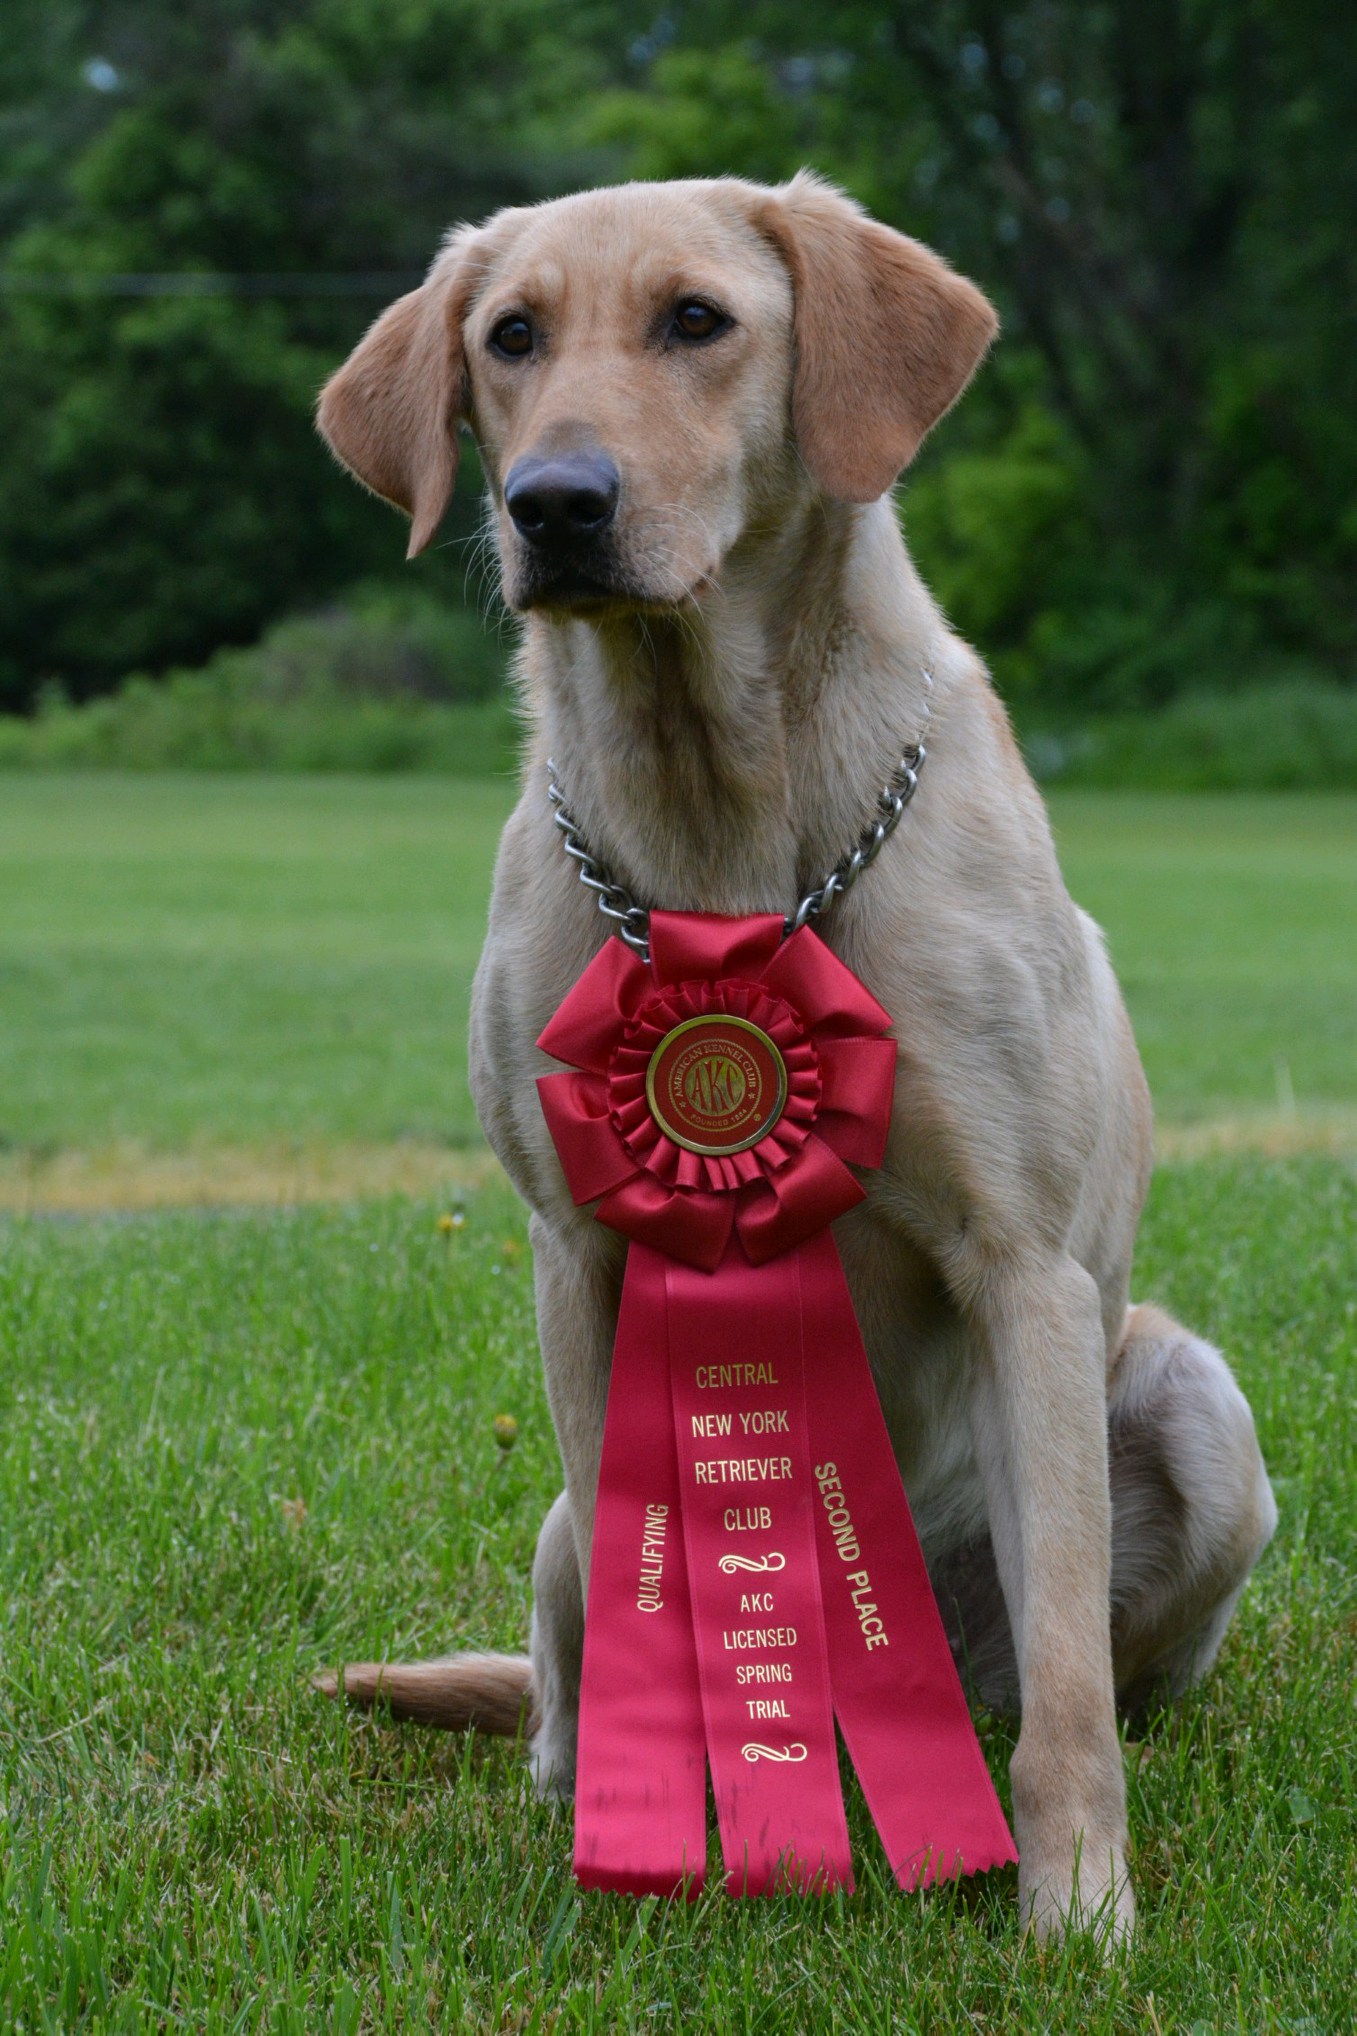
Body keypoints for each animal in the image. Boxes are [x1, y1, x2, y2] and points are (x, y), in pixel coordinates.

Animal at [313, 171, 1277, 1938]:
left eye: (698, 319)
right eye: (509, 337)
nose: (554, 503)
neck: (721, 813)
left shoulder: (1022, 1262)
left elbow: (1067, 1688)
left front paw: (1077, 1913)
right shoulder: (579, 1254)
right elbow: (657, 1608)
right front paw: (656, 1843)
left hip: (1194, 1406)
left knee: (1074, 1672)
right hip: (558, 1531)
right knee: (561, 1680)